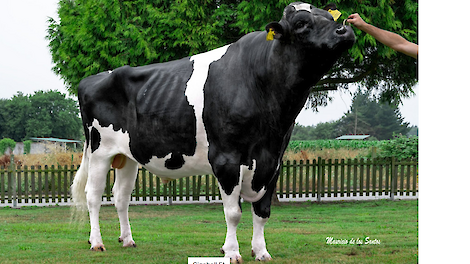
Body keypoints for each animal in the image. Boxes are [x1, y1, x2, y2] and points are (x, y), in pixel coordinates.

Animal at [71, 2, 354, 262]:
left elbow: (262, 211)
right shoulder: (226, 158)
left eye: (330, 17)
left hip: (128, 156)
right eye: (301, 23)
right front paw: (232, 251)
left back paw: (128, 240)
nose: (344, 30)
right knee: (93, 196)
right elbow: (234, 212)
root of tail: (91, 79)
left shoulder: (274, 160)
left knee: (121, 197)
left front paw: (261, 252)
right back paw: (96, 242)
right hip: (99, 151)